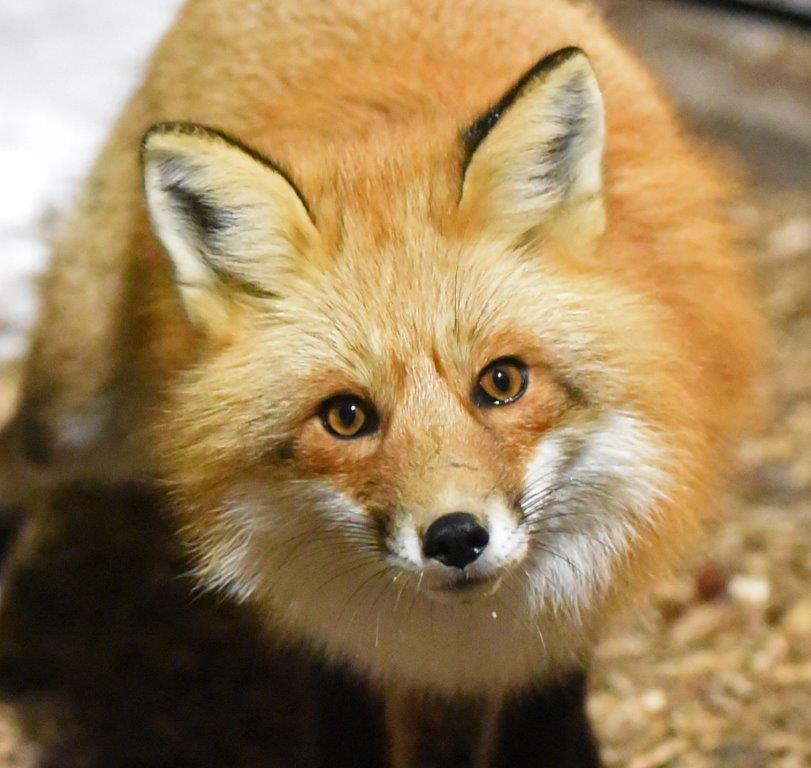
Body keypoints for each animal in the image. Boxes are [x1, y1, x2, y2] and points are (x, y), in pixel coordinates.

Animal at [1, 0, 765, 765]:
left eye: (502, 381)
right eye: (346, 416)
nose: (455, 538)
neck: (457, 639)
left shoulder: (564, 625)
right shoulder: (331, 638)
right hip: (74, 414)